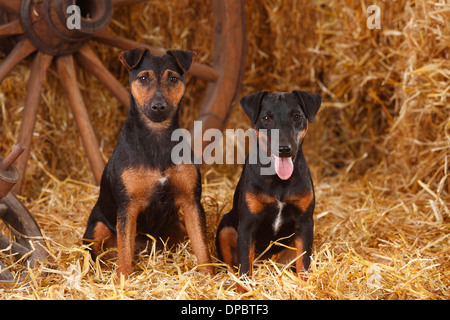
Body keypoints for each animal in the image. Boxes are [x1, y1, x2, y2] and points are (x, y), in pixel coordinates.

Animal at [84, 48, 214, 278]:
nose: (159, 106)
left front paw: (211, 279)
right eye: (143, 78)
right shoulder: (128, 208)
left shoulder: (191, 202)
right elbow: (124, 254)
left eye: (173, 78)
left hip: (178, 226)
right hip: (97, 228)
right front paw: (122, 282)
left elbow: (202, 249)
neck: (156, 137)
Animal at [216, 90, 322, 290]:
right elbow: (244, 268)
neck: (279, 180)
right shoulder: (247, 224)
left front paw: (304, 287)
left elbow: (303, 263)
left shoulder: (305, 222)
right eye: (266, 118)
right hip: (225, 230)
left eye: (296, 116)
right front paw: (244, 291)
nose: (284, 149)